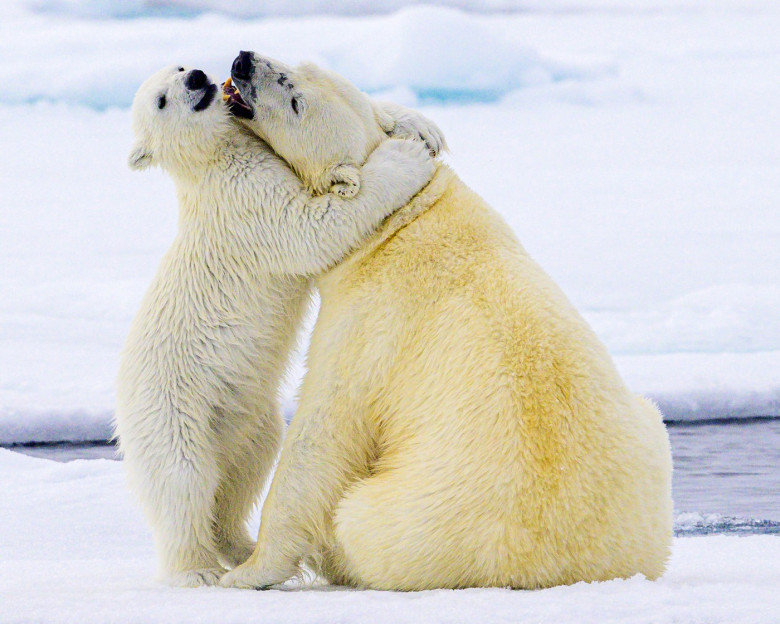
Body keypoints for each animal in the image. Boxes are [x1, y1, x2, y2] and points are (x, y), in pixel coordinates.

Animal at [113, 66, 442, 588]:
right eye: (162, 100)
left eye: (179, 67)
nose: (199, 78)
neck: (215, 159)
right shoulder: (247, 203)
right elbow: (311, 226)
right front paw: (405, 158)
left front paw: (420, 125)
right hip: (170, 408)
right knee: (182, 481)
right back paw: (197, 569)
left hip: (242, 414)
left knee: (244, 470)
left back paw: (243, 545)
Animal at [218, 52, 672, 588]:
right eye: (299, 61)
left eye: (295, 99)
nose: (244, 61)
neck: (402, 222)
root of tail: (557, 565)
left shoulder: (367, 323)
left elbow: (323, 431)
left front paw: (247, 571)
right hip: (647, 457)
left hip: (405, 520)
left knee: (355, 520)